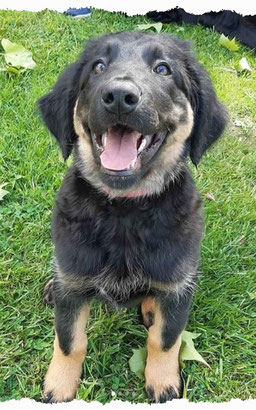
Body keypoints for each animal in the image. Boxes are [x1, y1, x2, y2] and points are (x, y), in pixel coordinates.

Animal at [37, 32, 226, 404]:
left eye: (163, 69)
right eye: (98, 67)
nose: (120, 98)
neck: (124, 211)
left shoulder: (177, 283)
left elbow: (165, 340)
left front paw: (164, 382)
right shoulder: (74, 280)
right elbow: (69, 341)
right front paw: (59, 385)